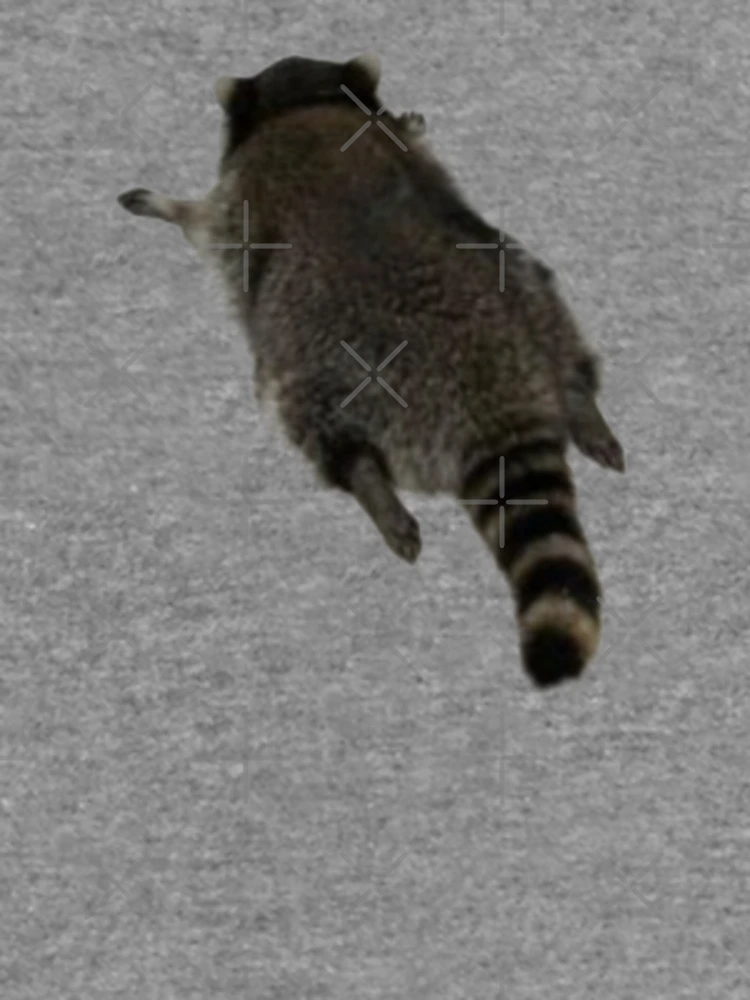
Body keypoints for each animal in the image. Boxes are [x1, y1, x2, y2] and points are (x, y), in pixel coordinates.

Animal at [118, 53, 618, 686]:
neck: (306, 103)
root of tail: (493, 392)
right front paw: (412, 117)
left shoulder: (239, 202)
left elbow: (205, 222)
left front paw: (170, 205)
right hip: (533, 295)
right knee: (559, 334)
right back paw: (581, 400)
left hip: (327, 367)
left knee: (321, 427)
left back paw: (367, 481)